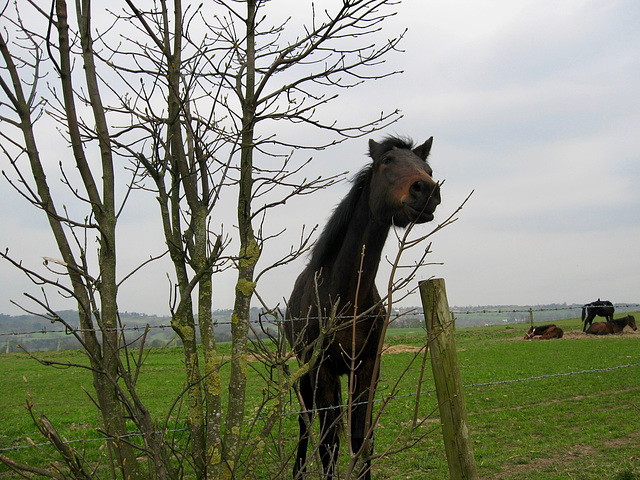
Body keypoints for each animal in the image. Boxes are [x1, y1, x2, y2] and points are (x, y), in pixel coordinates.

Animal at [284, 136, 440, 480]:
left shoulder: (368, 368)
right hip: (305, 370)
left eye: (428, 168)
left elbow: (360, 439)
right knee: (306, 421)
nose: (426, 190)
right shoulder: (323, 369)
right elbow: (328, 442)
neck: (345, 298)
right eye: (387, 161)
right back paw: (298, 470)